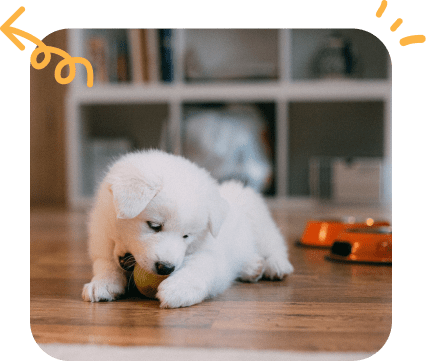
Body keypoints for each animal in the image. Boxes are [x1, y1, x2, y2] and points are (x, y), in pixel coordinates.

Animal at [82, 149, 294, 306]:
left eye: (186, 236)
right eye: (154, 226)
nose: (166, 268)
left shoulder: (212, 254)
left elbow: (201, 267)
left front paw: (178, 289)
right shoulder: (101, 243)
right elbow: (105, 265)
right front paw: (101, 284)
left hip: (258, 221)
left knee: (274, 244)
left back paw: (275, 265)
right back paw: (251, 267)